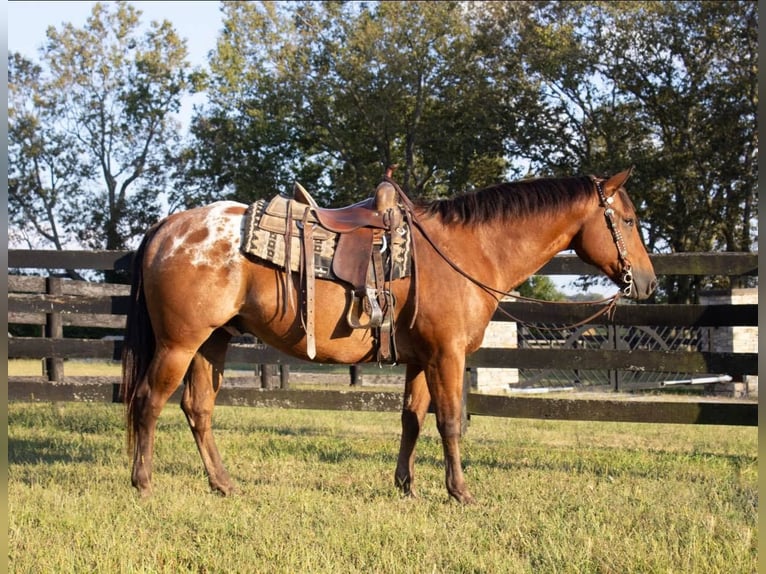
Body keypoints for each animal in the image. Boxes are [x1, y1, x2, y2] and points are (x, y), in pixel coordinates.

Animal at [123, 168, 656, 504]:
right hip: (179, 343)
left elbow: (412, 420)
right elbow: (449, 423)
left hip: (212, 343)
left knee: (198, 410)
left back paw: (223, 484)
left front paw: (407, 486)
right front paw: (460, 491)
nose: (649, 283)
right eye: (629, 220)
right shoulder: (447, 355)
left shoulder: (422, 358)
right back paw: (143, 483)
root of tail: (168, 227)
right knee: (149, 401)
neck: (466, 251)